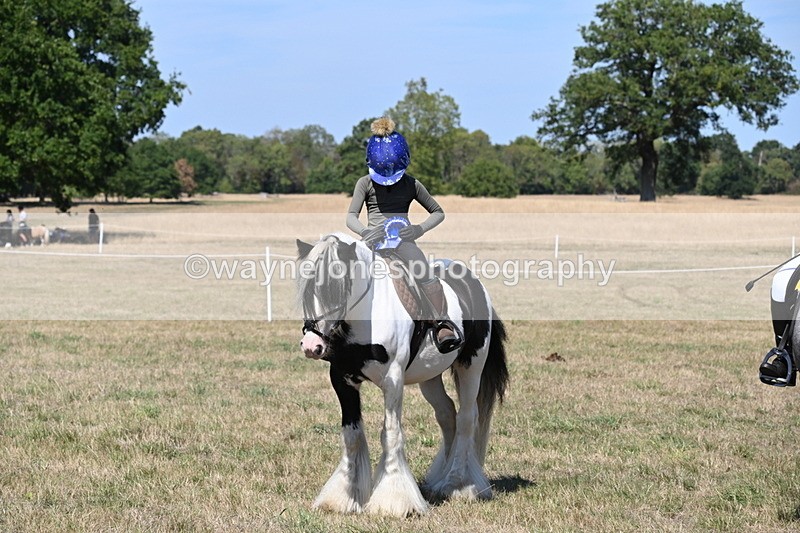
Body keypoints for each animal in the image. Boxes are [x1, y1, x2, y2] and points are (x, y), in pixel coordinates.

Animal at [296, 232, 509, 516]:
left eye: (337, 288)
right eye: (306, 291)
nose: (312, 346)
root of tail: (474, 284)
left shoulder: (393, 380)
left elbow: (390, 433)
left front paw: (395, 500)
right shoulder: (342, 379)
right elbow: (352, 436)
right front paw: (345, 497)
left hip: (471, 367)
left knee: (466, 418)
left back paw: (456, 484)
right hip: (429, 376)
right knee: (447, 414)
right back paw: (439, 479)